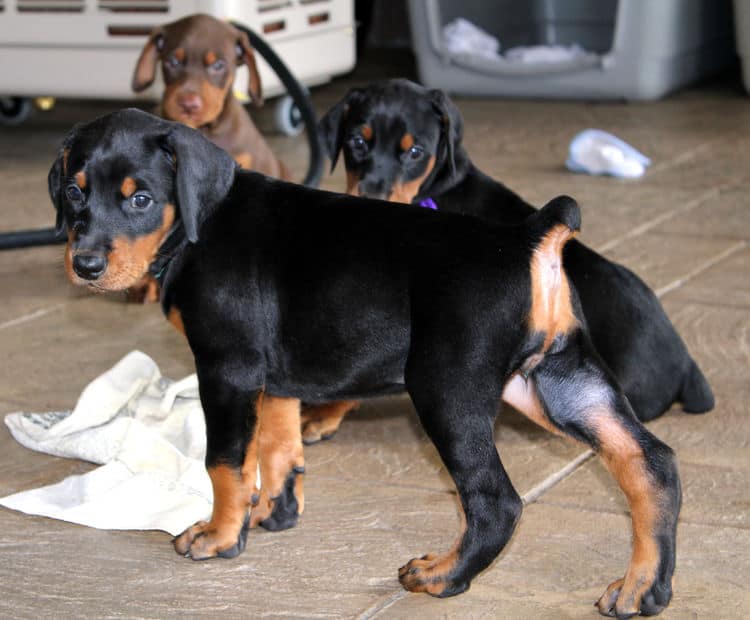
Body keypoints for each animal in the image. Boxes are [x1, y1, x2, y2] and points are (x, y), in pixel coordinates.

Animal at [47, 109, 680, 616]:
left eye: (140, 198)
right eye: (75, 193)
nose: (85, 265)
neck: (196, 228)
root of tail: (530, 237)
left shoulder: (226, 370)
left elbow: (225, 461)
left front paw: (220, 535)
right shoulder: (274, 375)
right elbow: (278, 448)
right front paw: (274, 513)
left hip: (447, 389)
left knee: (496, 501)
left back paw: (442, 576)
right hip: (560, 381)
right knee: (651, 464)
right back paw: (642, 590)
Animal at [306, 78, 716, 446]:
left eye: (415, 152)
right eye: (357, 142)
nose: (369, 197)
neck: (435, 190)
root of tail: (686, 365)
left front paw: (324, 414)